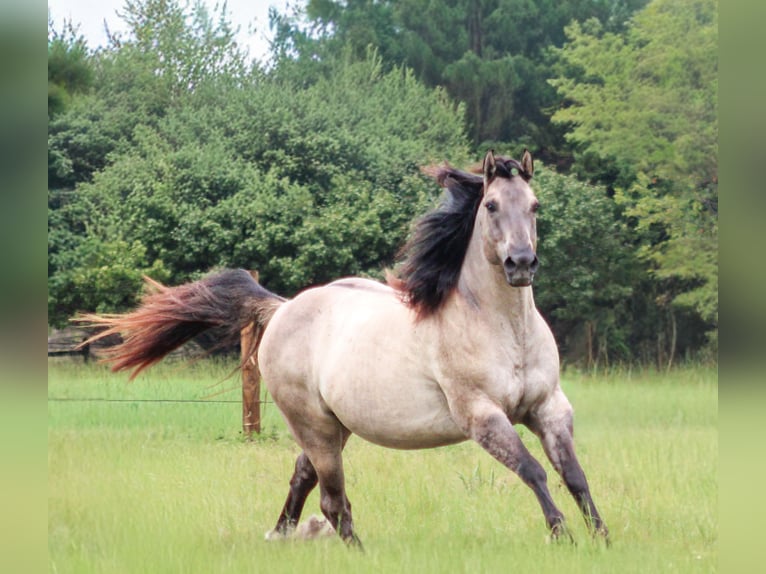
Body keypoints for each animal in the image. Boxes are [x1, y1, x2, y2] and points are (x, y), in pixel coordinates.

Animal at [80, 150, 608, 547]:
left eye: (536, 206)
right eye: (493, 206)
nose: (521, 263)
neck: (502, 329)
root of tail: (283, 307)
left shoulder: (548, 408)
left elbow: (574, 474)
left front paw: (601, 538)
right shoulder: (481, 416)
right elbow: (534, 471)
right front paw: (562, 535)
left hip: (334, 426)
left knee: (303, 476)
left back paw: (280, 536)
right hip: (314, 425)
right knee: (332, 499)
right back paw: (356, 551)